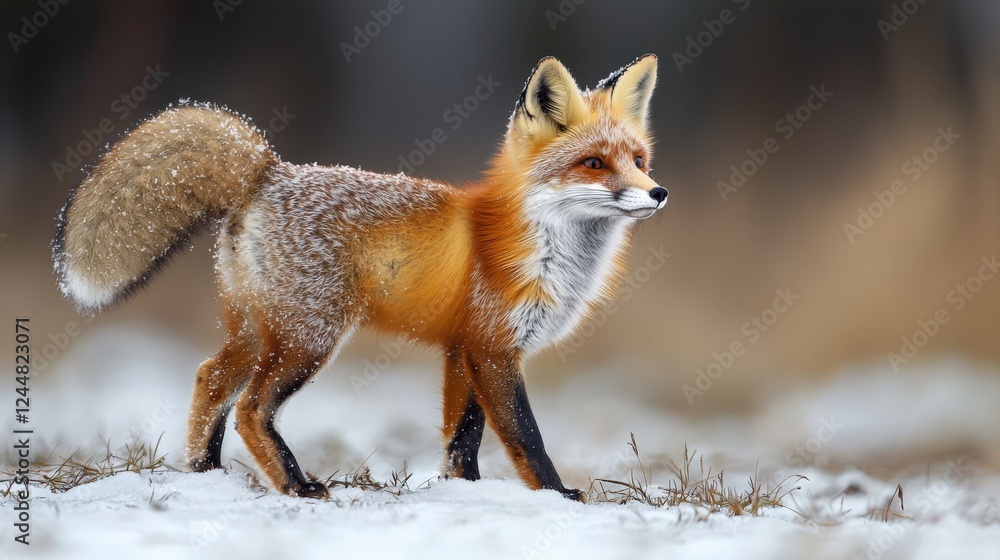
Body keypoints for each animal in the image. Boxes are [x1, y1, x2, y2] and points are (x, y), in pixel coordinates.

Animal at [53, 55, 667, 501]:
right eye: (594, 163)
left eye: (638, 159)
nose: (658, 192)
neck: (543, 248)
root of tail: (270, 170)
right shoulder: (493, 349)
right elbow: (525, 435)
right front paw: (558, 495)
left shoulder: (463, 348)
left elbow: (461, 440)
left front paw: (464, 493)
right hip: (310, 338)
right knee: (252, 409)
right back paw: (297, 487)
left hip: (259, 333)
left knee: (209, 379)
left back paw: (206, 475)